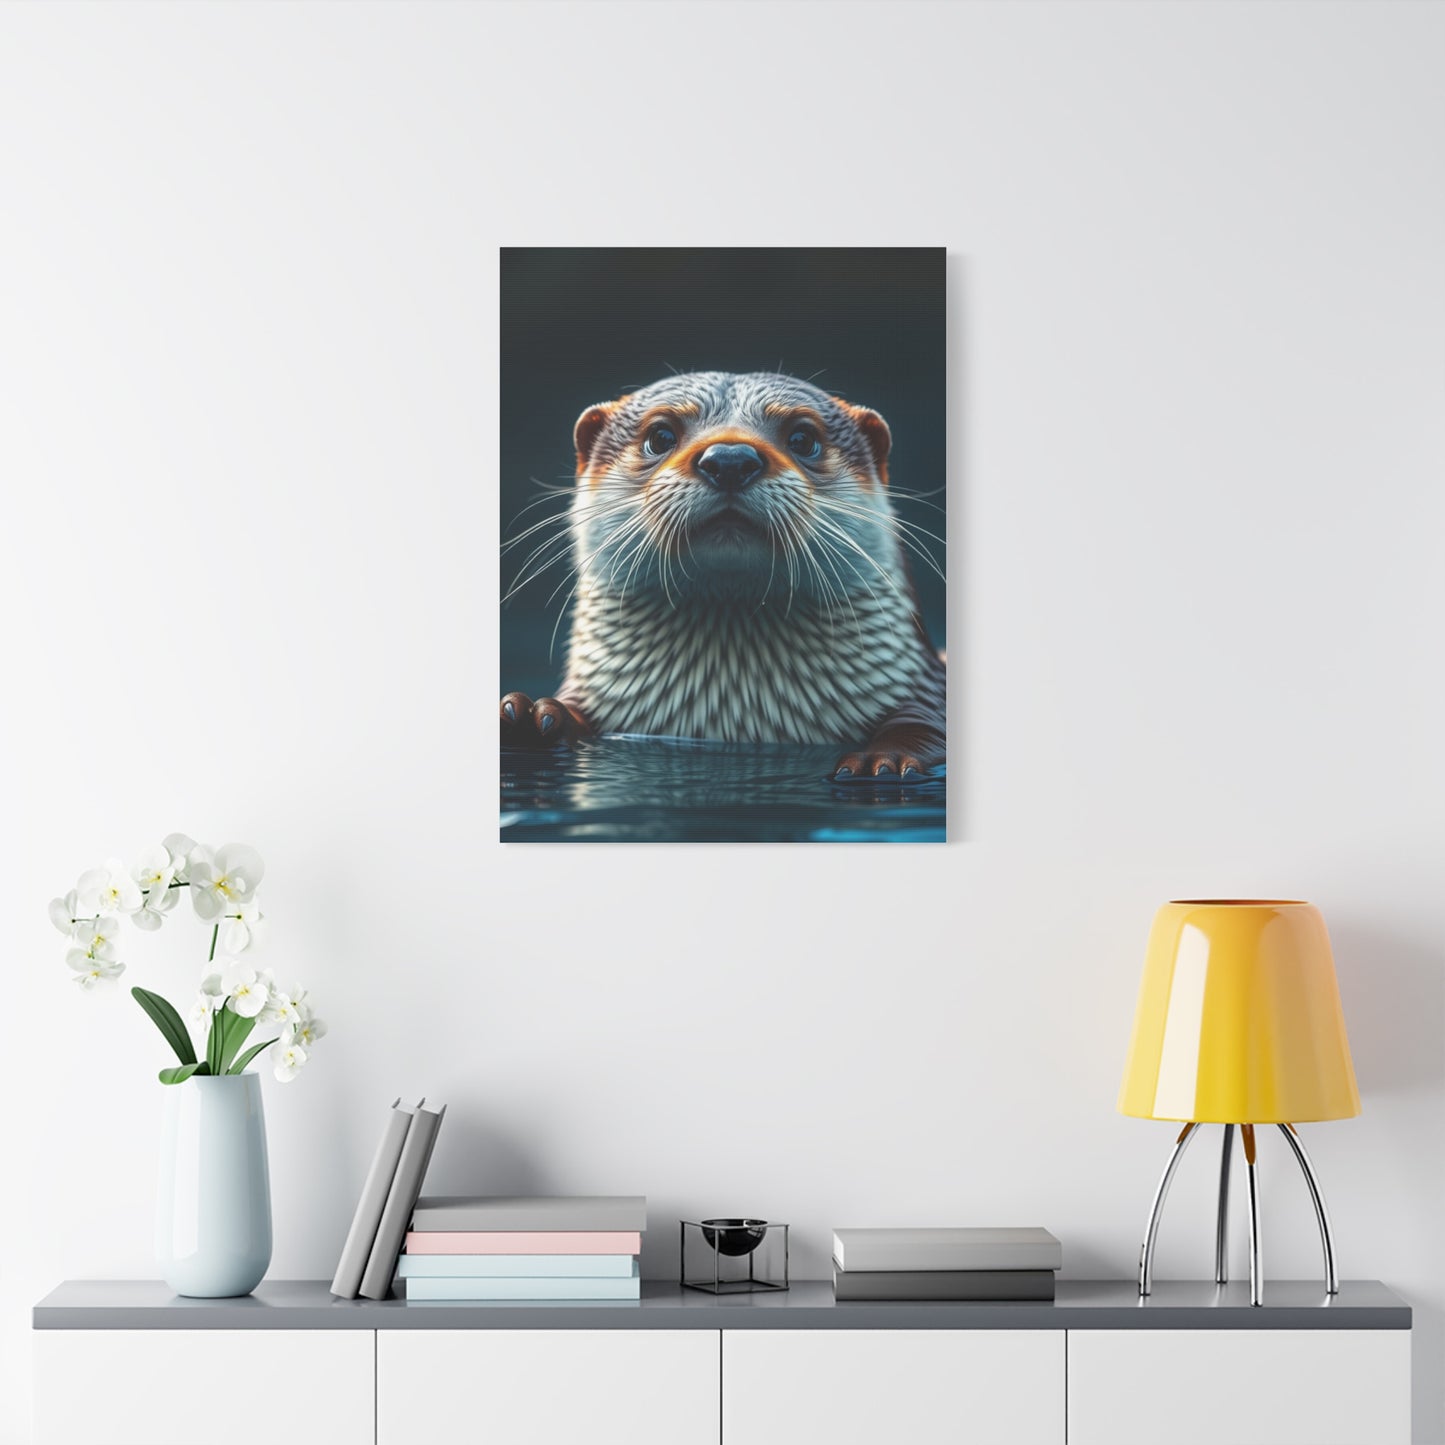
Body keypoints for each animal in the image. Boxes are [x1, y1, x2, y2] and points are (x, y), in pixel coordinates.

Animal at [500, 371, 945, 779]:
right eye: (660, 435)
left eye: (803, 438)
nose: (730, 460)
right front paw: (529, 717)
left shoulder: (924, 690)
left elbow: (922, 727)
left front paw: (883, 760)